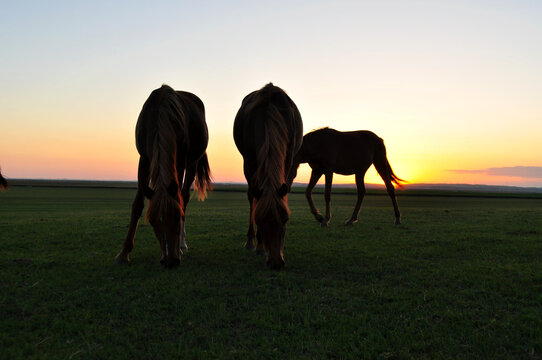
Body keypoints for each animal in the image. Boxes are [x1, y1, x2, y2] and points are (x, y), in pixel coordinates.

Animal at [116, 85, 214, 268]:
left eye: (175, 217)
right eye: (152, 221)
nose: (170, 261)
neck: (160, 115)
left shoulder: (180, 161)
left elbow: (180, 200)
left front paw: (178, 248)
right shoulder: (144, 159)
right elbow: (137, 205)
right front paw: (124, 253)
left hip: (192, 164)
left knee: (184, 197)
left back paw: (182, 244)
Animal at [235, 83, 306, 268]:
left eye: (285, 220)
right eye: (260, 221)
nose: (276, 262)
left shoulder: (288, 160)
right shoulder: (250, 162)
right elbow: (254, 198)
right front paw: (259, 245)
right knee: (251, 197)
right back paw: (250, 242)